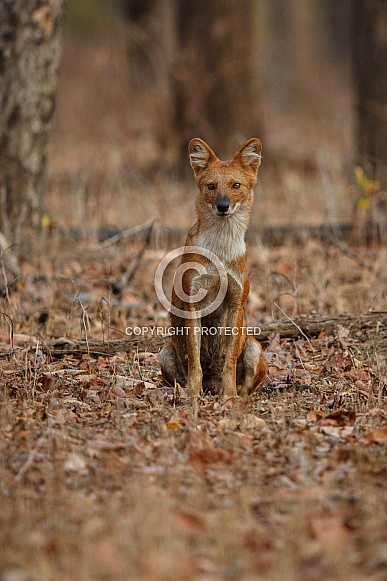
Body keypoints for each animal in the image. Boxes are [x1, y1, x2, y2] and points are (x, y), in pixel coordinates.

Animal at [159, 138, 268, 396]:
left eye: (236, 185)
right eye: (211, 186)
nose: (222, 205)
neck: (221, 247)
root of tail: (213, 384)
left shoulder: (237, 303)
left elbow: (229, 361)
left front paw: (229, 396)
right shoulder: (192, 304)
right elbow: (194, 360)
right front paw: (193, 395)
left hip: (254, 348)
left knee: (248, 384)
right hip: (165, 352)